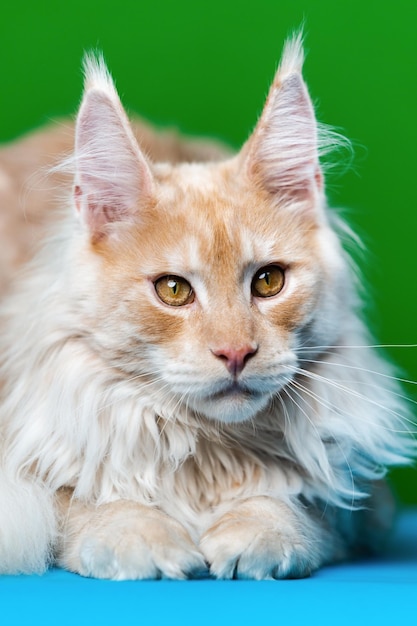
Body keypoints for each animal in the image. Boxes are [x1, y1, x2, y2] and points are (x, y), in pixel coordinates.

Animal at [0, 34, 412, 576]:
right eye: (173, 290)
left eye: (269, 281)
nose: (236, 354)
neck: (209, 454)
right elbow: (85, 502)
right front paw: (146, 539)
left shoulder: (362, 496)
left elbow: (298, 504)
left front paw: (256, 536)